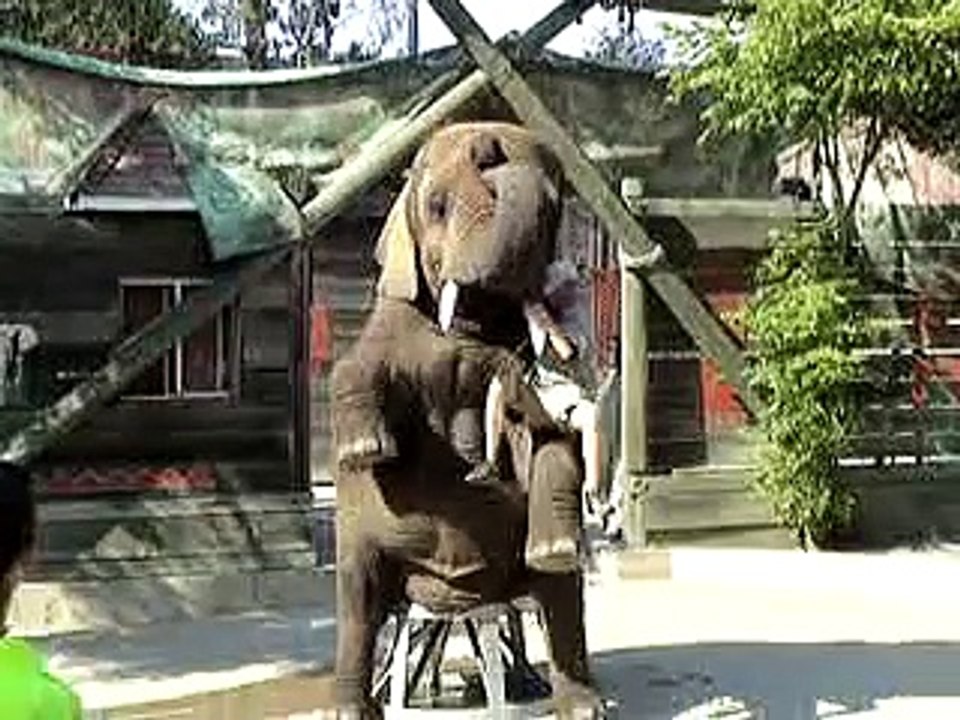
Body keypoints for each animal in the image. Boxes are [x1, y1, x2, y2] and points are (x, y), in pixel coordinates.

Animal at [330, 122, 599, 717]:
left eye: (554, 213)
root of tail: (453, 600)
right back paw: (355, 705)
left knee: (560, 595)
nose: (490, 148)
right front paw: (365, 450)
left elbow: (547, 432)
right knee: (359, 598)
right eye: (435, 205)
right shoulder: (397, 311)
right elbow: (356, 362)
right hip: (363, 545)